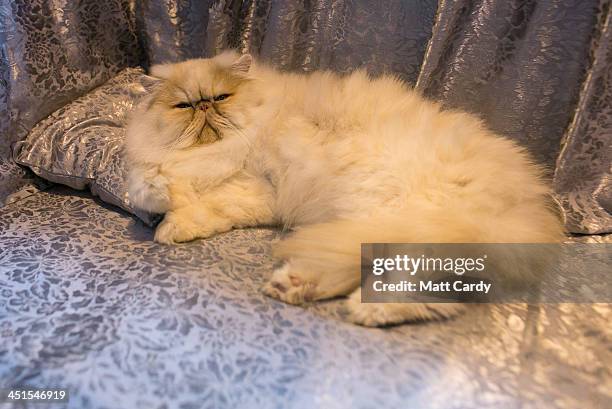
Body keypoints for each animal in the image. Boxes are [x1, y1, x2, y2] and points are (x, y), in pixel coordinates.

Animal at [125, 50, 564, 326]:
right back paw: (295, 286)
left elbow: (156, 186)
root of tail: (523, 208)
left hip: (396, 217)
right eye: (183, 106)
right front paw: (171, 224)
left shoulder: (247, 178)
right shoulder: (256, 191)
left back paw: (364, 310)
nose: (203, 106)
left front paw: (159, 201)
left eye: (220, 97)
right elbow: (195, 204)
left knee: (419, 286)